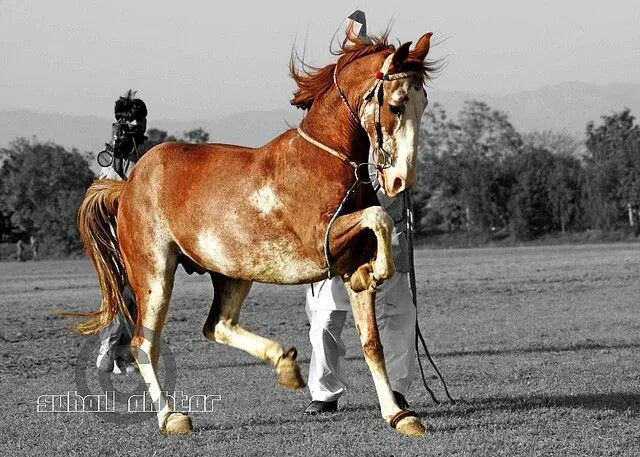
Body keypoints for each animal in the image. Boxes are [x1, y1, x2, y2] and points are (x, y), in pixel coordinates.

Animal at [75, 30, 434, 437]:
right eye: (396, 105)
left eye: (423, 102)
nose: (400, 181)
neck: (328, 160)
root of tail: (127, 186)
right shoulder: (319, 242)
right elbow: (379, 216)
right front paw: (379, 270)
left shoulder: (347, 262)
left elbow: (372, 343)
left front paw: (399, 415)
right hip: (153, 274)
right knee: (143, 343)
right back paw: (171, 417)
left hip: (231, 273)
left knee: (218, 326)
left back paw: (286, 364)